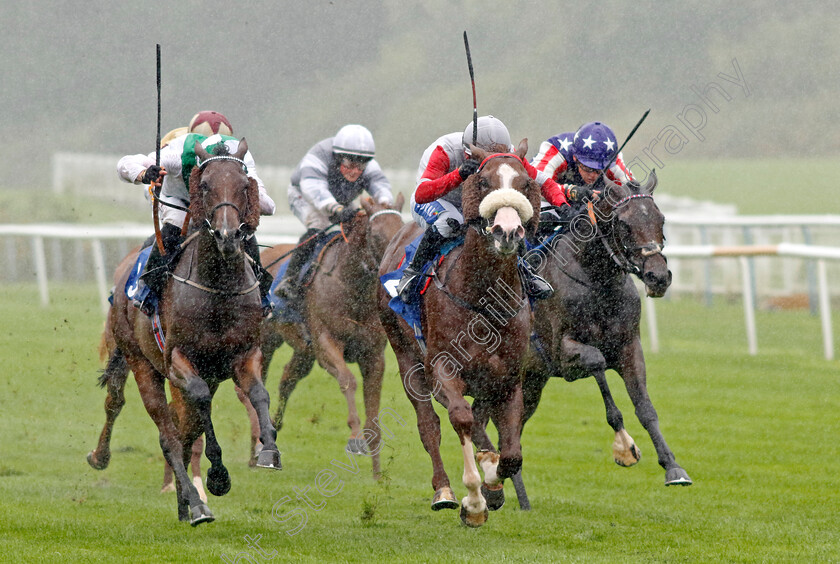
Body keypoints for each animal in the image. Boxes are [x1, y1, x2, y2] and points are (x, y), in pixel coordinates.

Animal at [88, 140, 280, 524]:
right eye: (204, 185)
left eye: (244, 184)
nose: (227, 236)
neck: (217, 288)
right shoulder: (179, 359)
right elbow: (200, 402)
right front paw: (218, 476)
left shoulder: (243, 354)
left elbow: (259, 394)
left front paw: (269, 450)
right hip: (142, 363)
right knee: (167, 434)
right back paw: (194, 503)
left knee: (183, 429)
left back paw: (186, 503)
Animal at [262, 193, 406, 476]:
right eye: (376, 234)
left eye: (402, 229)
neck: (353, 288)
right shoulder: (326, 344)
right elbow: (348, 380)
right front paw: (355, 439)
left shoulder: (373, 355)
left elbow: (374, 412)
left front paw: (377, 475)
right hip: (265, 342)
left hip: (303, 351)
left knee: (287, 378)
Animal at [378, 142, 540, 528]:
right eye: (482, 181)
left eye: (526, 183)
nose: (507, 231)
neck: (483, 297)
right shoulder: (441, 367)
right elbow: (460, 419)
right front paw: (474, 501)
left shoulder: (507, 378)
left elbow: (511, 454)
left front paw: (493, 481)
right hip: (406, 356)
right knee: (430, 425)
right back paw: (444, 492)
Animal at [476, 170, 692, 486]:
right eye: (624, 224)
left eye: (660, 219)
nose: (658, 277)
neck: (597, 282)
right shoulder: (562, 354)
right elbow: (598, 362)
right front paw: (624, 445)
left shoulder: (629, 347)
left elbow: (645, 407)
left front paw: (673, 467)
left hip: (530, 383)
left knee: (507, 433)